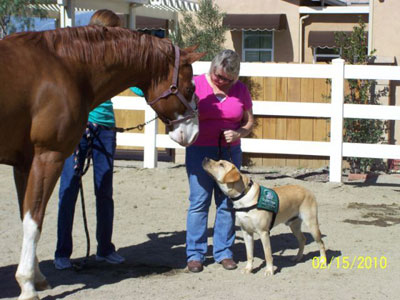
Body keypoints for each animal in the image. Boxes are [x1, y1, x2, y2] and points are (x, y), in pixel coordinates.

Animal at [0, 26, 205, 300]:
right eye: (191, 87)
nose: (193, 133)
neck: (62, 67)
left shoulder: (24, 163)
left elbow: (27, 216)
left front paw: (37, 278)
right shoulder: (48, 156)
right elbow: (35, 221)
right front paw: (27, 286)